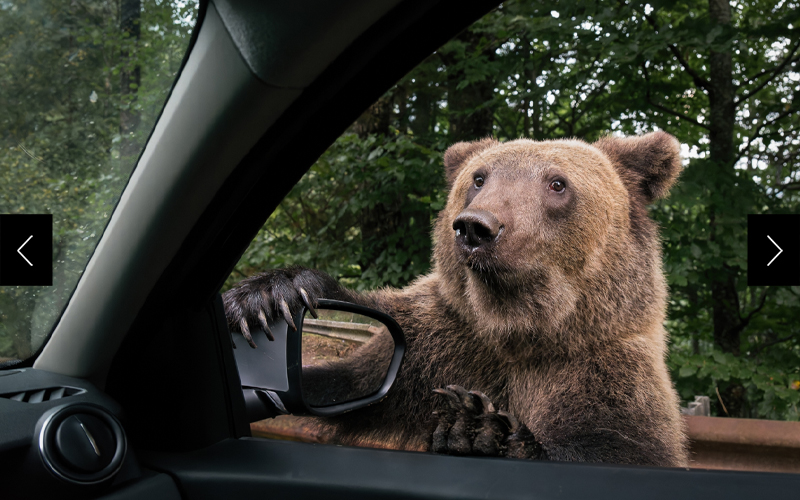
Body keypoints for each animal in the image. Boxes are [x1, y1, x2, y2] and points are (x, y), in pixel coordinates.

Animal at [223, 131, 688, 466]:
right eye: (479, 178)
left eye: (558, 183)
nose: (477, 226)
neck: (515, 327)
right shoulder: (432, 344)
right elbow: (345, 383)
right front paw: (267, 297)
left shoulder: (601, 374)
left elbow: (620, 447)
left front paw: (480, 428)